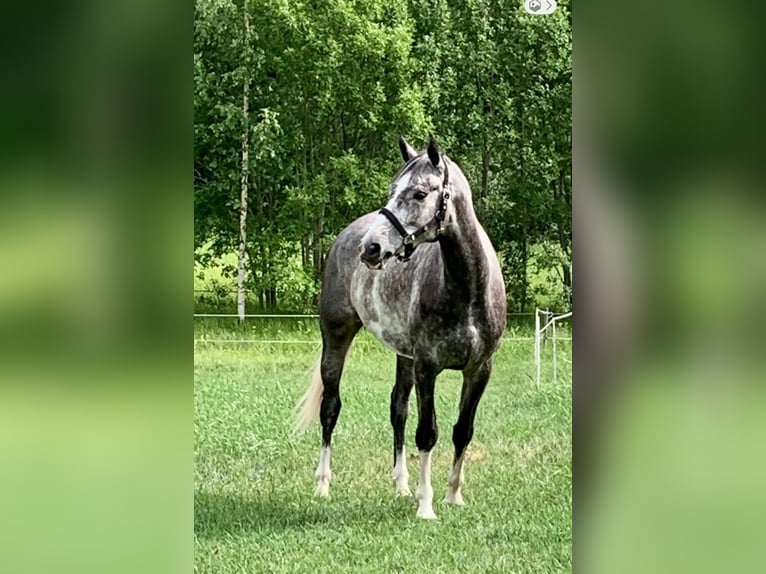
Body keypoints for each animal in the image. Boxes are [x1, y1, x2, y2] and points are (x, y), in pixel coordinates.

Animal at [295, 136, 507, 519]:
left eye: (420, 193)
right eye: (392, 190)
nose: (371, 248)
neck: (467, 291)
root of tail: (346, 235)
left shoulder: (479, 370)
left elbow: (462, 430)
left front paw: (453, 495)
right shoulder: (427, 367)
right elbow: (427, 433)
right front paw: (426, 505)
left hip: (403, 355)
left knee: (398, 409)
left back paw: (401, 484)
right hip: (336, 338)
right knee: (330, 408)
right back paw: (323, 484)